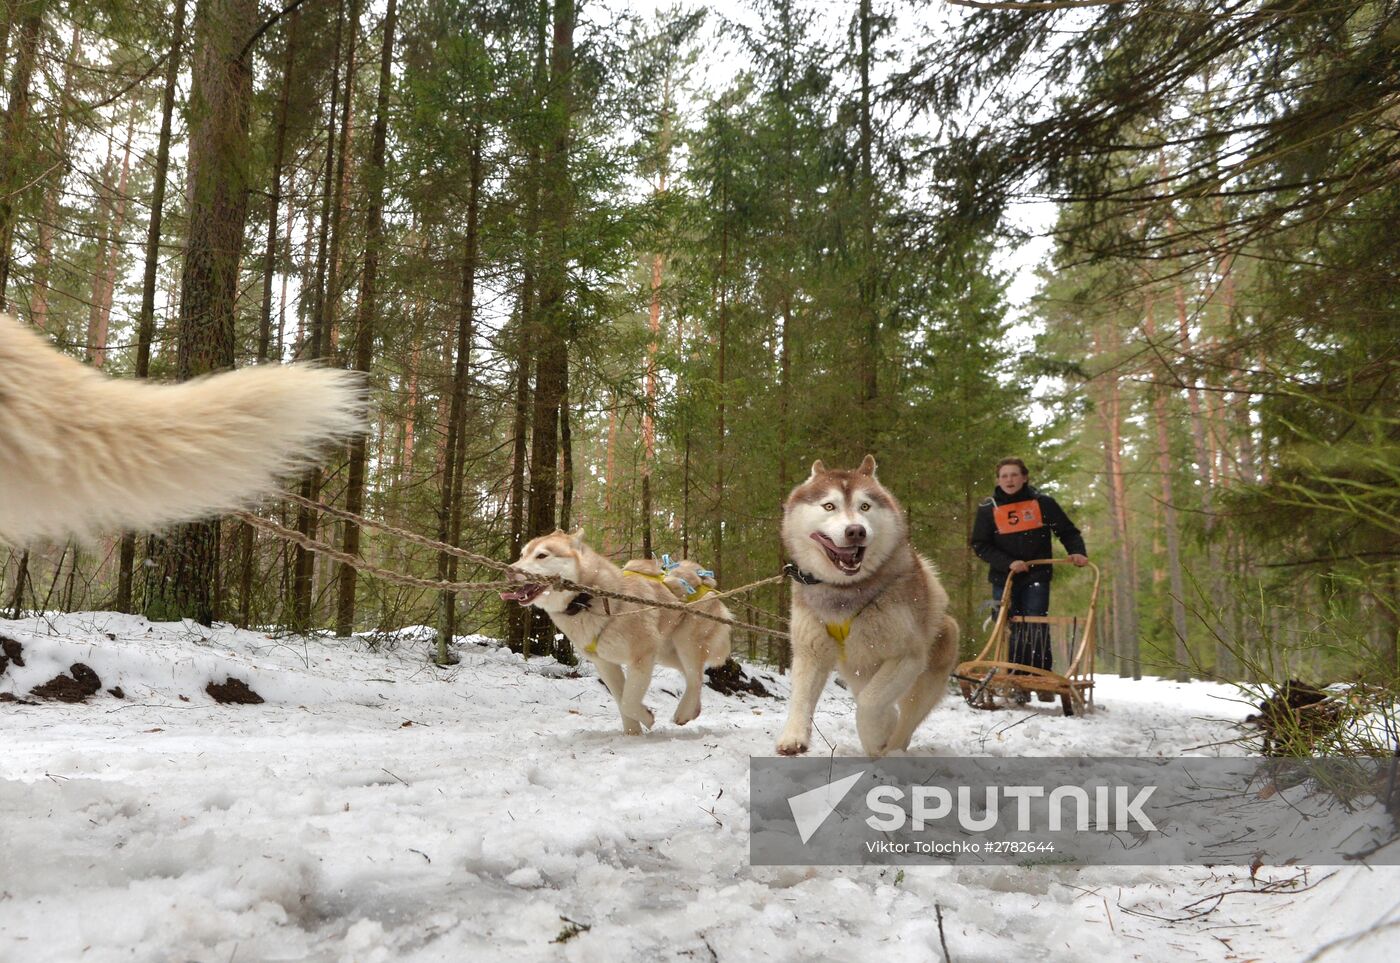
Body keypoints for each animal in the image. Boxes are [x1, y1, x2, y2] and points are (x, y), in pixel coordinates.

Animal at [501, 534, 733, 739]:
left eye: (541, 555)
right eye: (522, 554)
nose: (510, 570)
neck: (588, 600)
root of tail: (706, 581)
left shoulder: (642, 657)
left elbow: (629, 701)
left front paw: (646, 719)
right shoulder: (605, 664)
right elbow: (622, 701)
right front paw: (632, 734)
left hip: (685, 643)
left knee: (696, 677)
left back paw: (684, 712)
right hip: (666, 653)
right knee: (693, 675)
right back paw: (693, 709)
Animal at [778, 456, 963, 755]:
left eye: (865, 506)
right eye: (829, 506)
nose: (856, 531)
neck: (844, 592)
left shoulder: (908, 655)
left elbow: (870, 702)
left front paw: (875, 737)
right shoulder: (810, 650)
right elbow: (801, 697)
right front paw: (793, 737)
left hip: (931, 664)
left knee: (905, 718)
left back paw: (892, 747)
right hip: (857, 670)